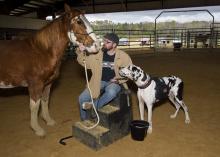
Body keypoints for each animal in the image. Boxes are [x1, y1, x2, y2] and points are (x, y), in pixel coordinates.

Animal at [0, 3, 101, 136]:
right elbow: (34, 106)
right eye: (79, 21)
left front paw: (48, 121)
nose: (97, 45)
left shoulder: (48, 83)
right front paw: (37, 129)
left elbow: (45, 101)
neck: (42, 51)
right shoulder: (35, 85)